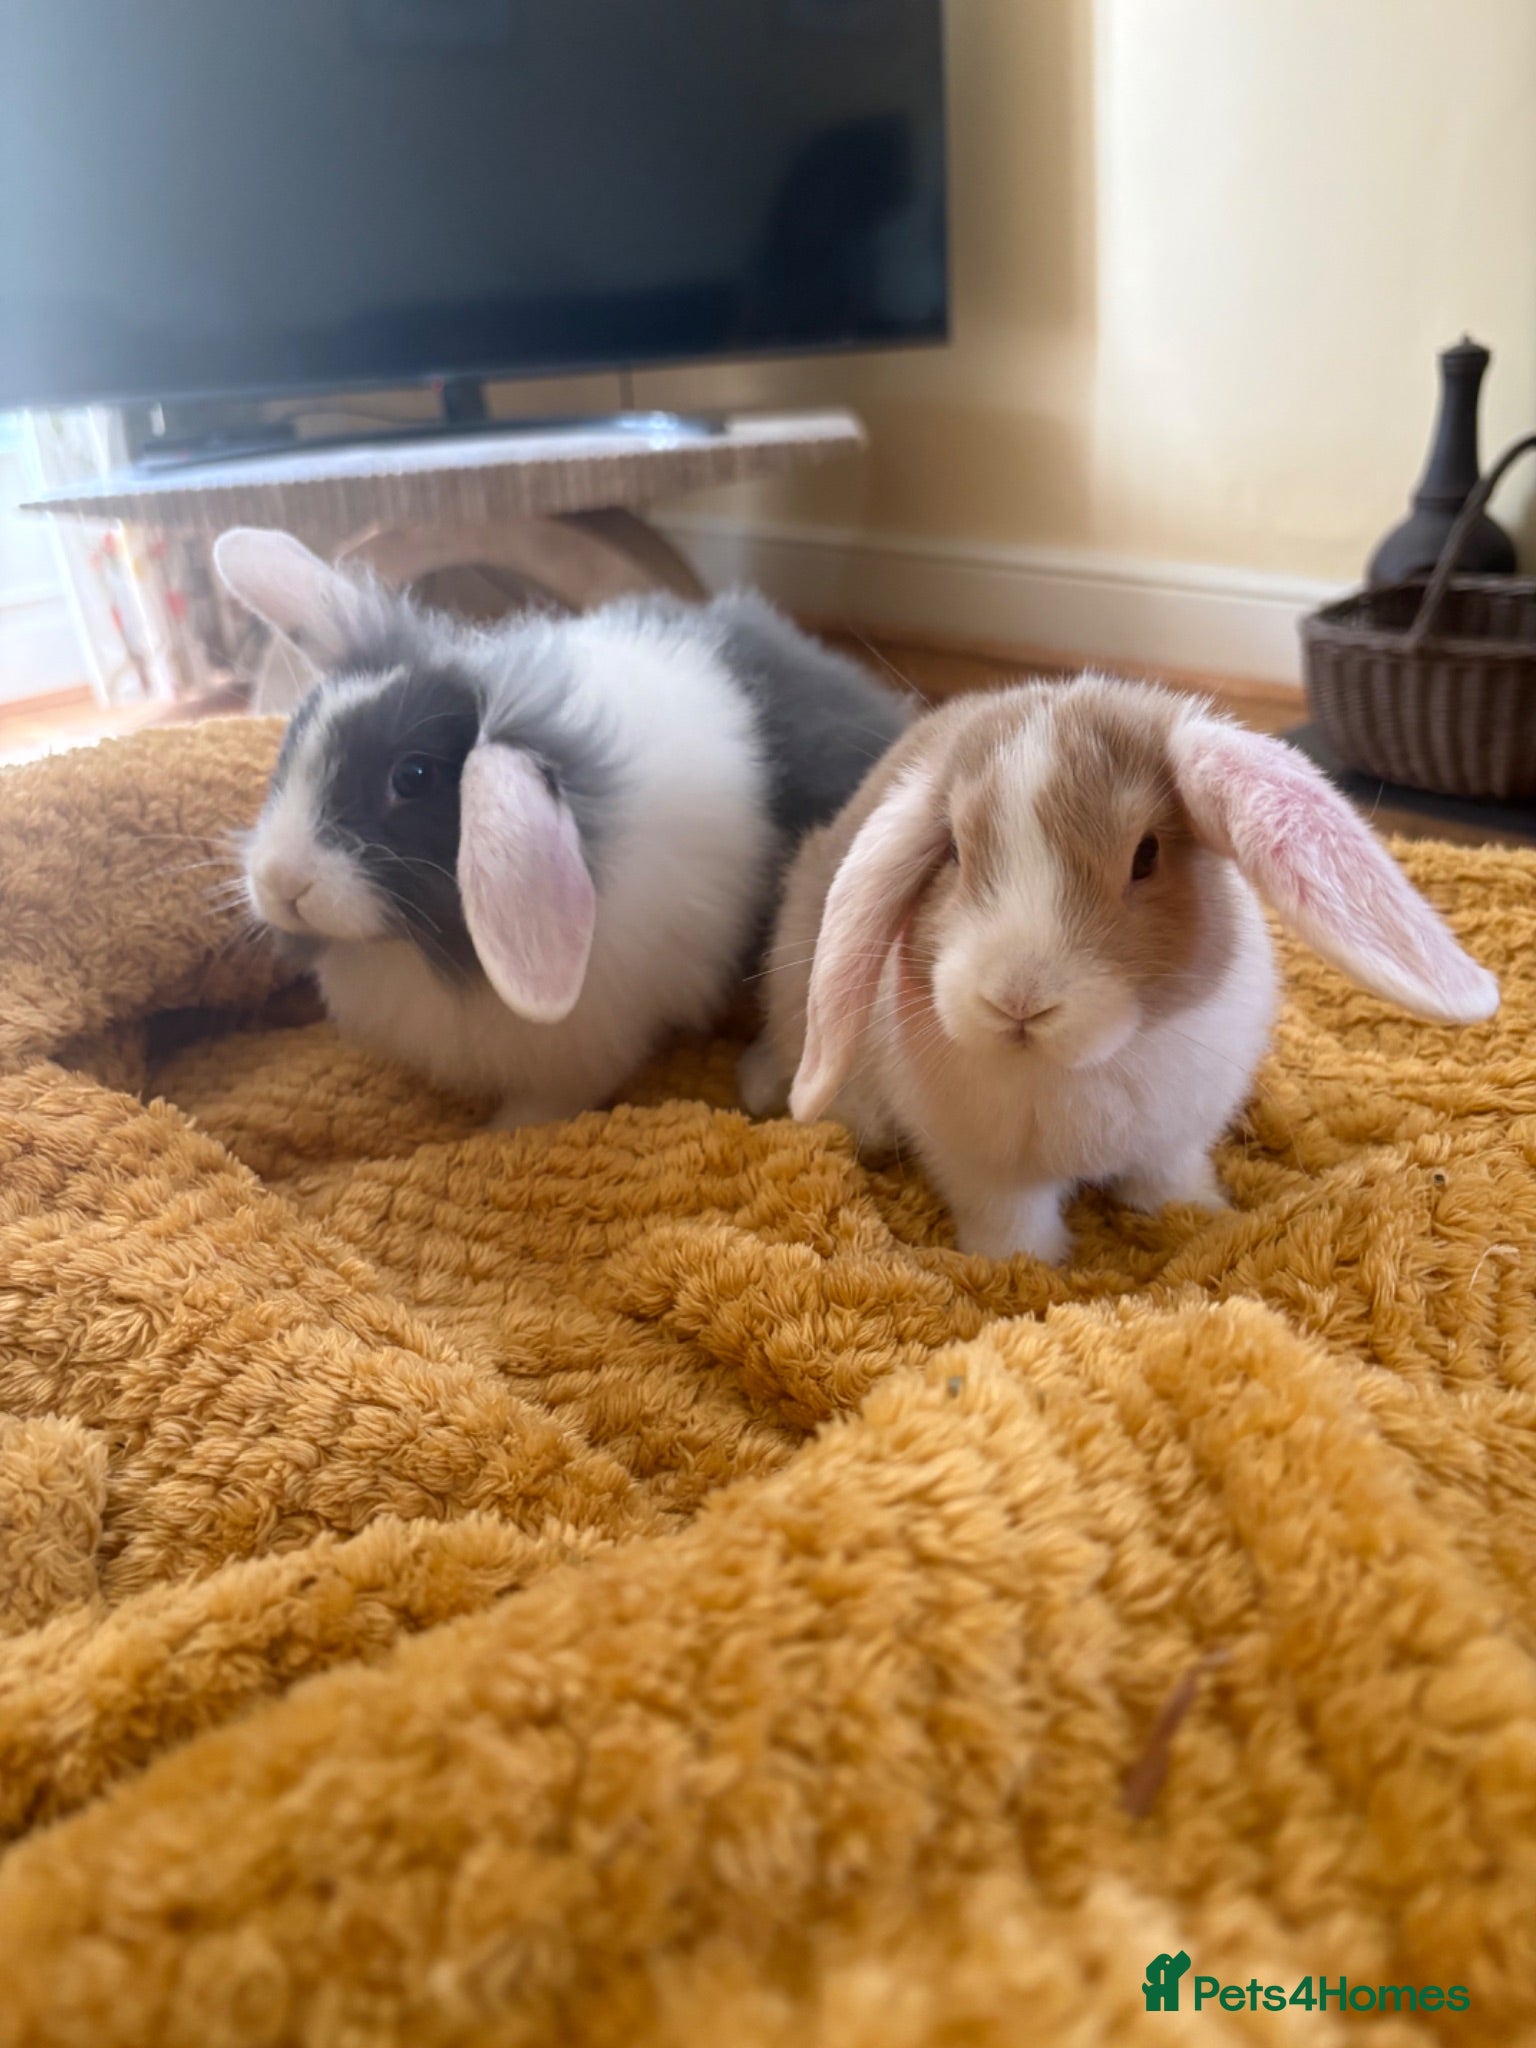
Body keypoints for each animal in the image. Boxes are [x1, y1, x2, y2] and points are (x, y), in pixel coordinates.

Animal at [213, 526, 910, 1126]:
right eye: (297, 730)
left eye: (412, 776)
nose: (280, 883)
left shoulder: (581, 1048)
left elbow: (547, 1104)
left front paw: (498, 1133)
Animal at [740, 673, 1499, 1263]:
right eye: (952, 851)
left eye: (1147, 854)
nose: (1019, 999)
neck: (1078, 1066)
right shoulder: (983, 1168)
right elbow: (1011, 1219)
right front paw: (1020, 1267)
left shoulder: (1175, 1138)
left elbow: (1167, 1181)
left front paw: (1198, 1214)